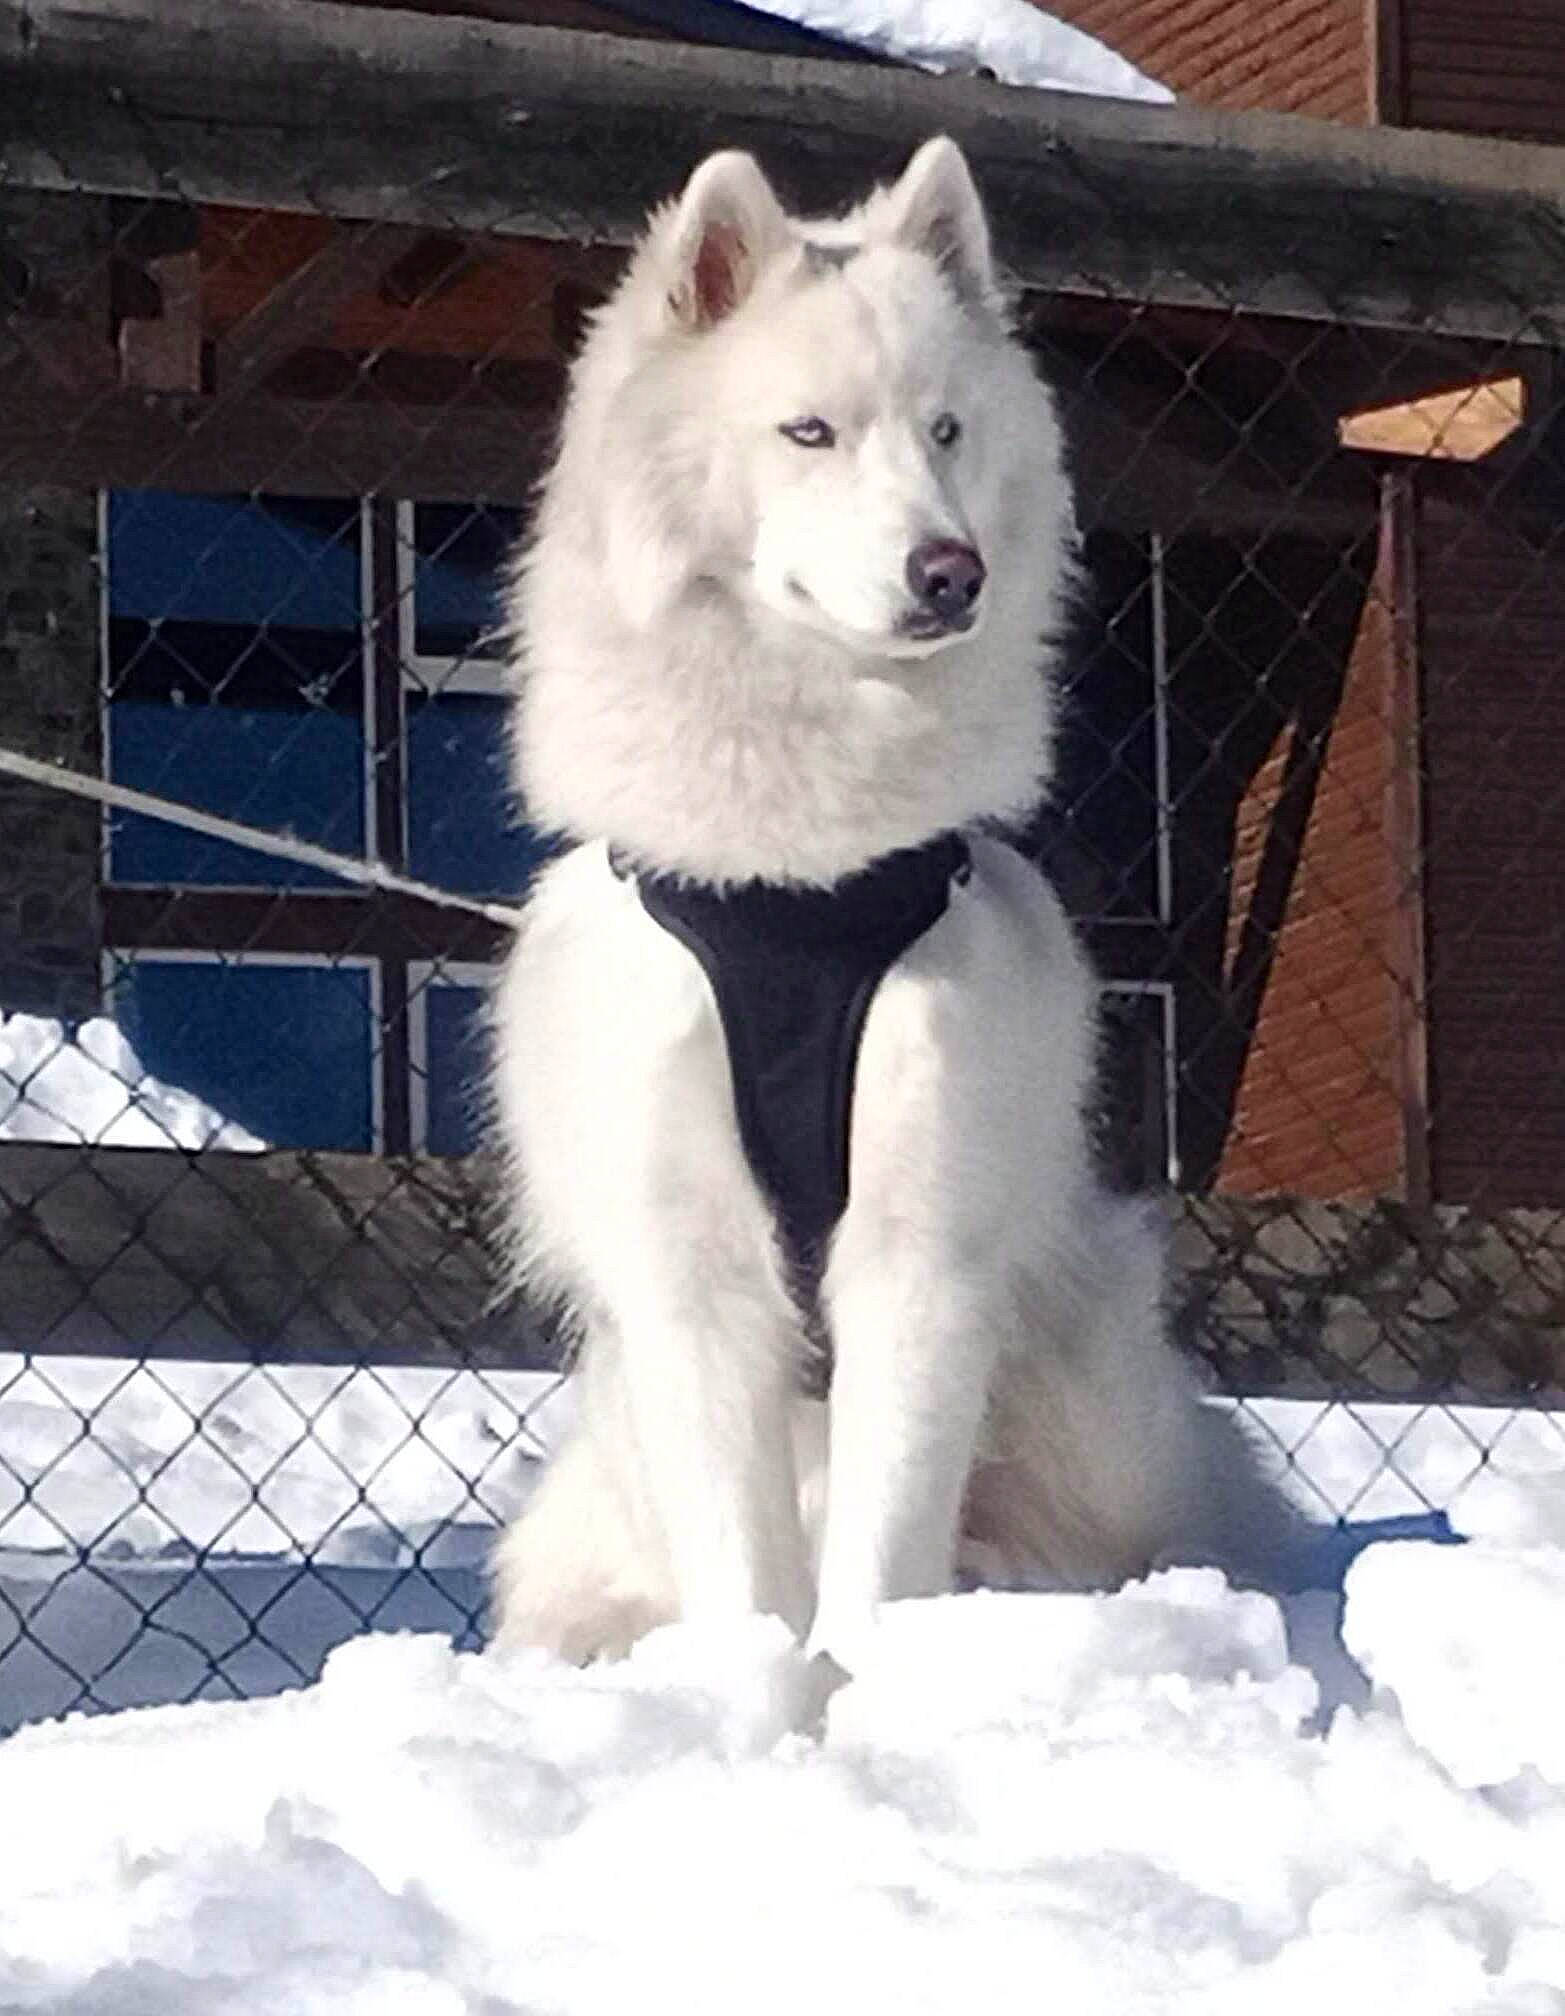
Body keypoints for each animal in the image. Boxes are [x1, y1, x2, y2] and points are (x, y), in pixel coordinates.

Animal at [488, 137, 1301, 1673]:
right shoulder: (693, 1273)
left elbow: (874, 1568)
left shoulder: (920, 1248)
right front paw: (757, 1704)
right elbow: (751, 1578)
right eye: (807, 432)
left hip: (1087, 1381)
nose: (950, 573)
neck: (798, 884)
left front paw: (866, 1699)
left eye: (945, 433)